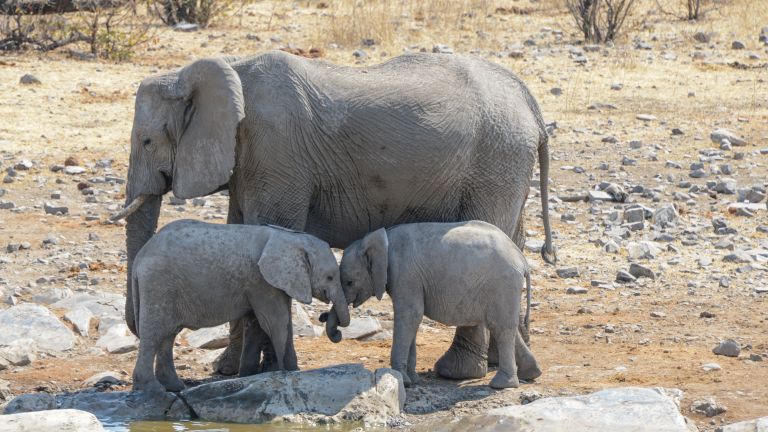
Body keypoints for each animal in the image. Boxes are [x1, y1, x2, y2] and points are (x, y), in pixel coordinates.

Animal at [132, 219, 348, 392]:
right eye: (330, 277)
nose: (324, 317)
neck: (290, 237)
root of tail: (139, 258)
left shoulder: (271, 282)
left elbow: (260, 324)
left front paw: (253, 375)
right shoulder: (261, 281)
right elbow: (275, 322)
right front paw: (284, 372)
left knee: (168, 334)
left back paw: (175, 387)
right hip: (158, 284)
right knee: (154, 333)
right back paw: (152, 389)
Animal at [328, 221, 540, 390]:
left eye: (349, 282)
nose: (337, 333)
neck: (380, 239)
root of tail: (522, 260)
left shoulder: (405, 273)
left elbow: (410, 315)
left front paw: (402, 380)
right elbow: (412, 320)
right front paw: (412, 380)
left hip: (502, 283)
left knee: (501, 328)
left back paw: (501, 385)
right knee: (503, 327)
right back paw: (531, 373)